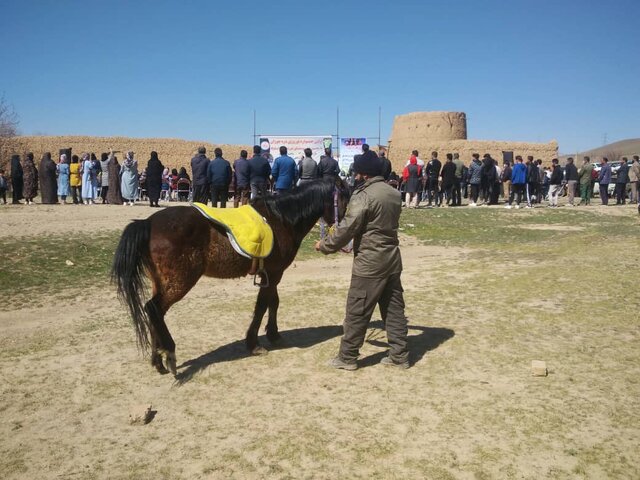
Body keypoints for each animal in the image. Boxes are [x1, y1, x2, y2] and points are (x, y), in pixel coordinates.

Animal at [111, 176, 350, 376]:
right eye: (345, 199)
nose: (346, 227)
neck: (281, 219)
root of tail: (148, 223)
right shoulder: (274, 273)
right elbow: (263, 305)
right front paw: (254, 344)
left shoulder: (272, 274)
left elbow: (273, 302)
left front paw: (273, 335)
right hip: (180, 282)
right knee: (153, 308)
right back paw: (169, 353)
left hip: (160, 282)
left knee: (154, 314)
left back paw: (157, 361)